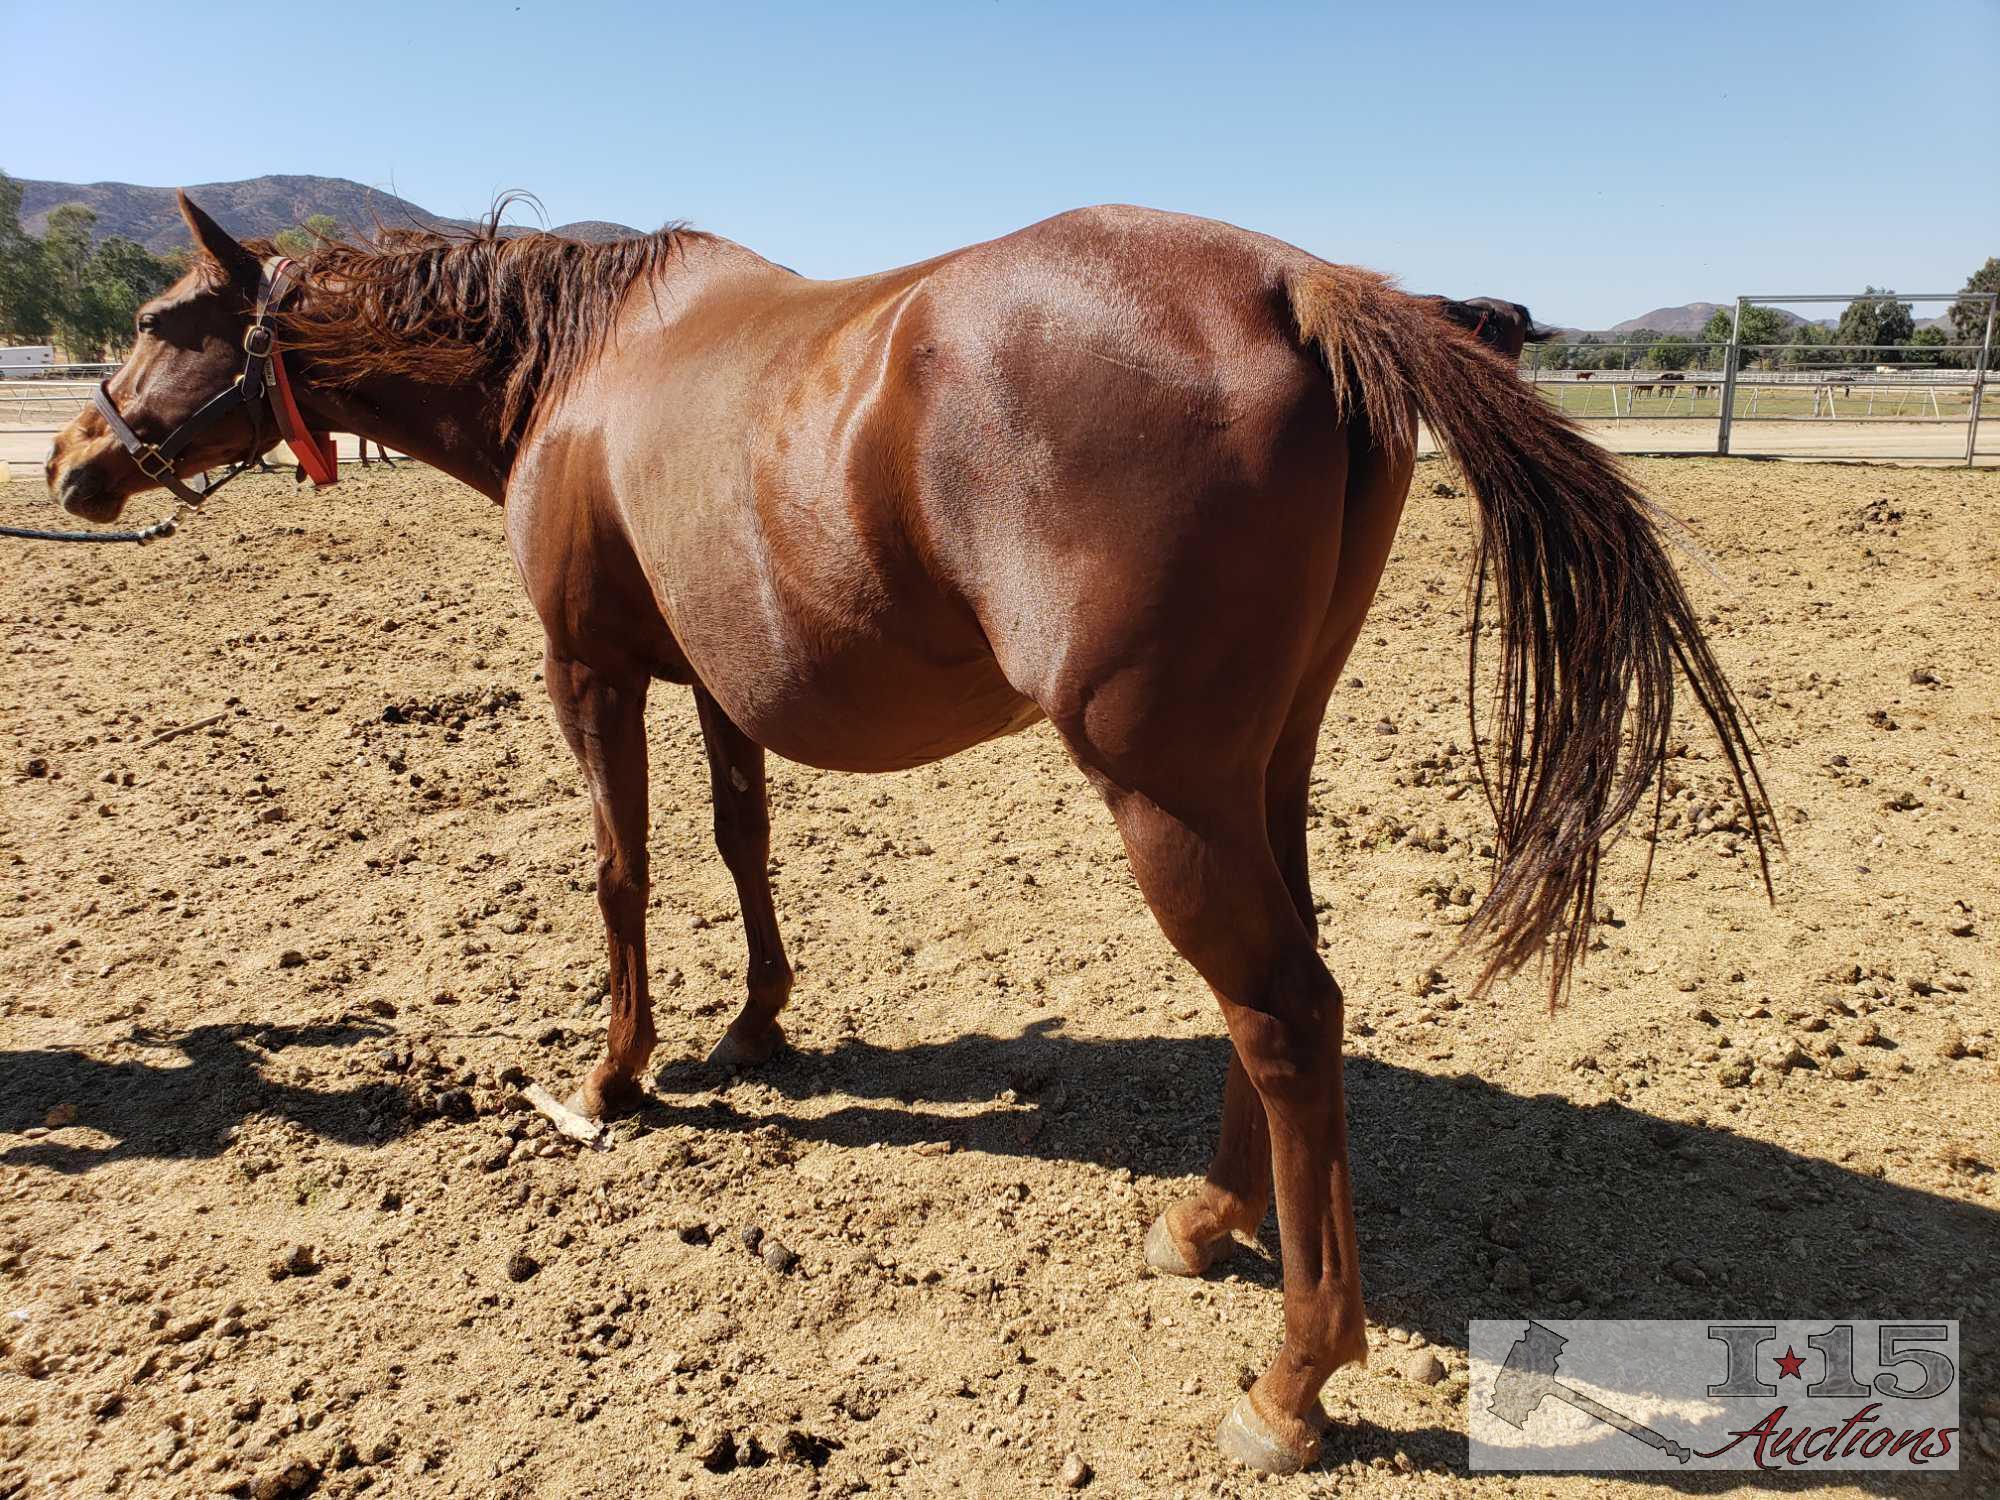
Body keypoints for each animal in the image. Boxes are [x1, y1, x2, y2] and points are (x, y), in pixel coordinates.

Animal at [43, 194, 1768, 1472]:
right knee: (1279, 1006)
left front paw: (613, 1080)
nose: (71, 462)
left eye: (159, 322)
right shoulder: (717, 680)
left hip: (1161, 791)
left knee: (1285, 1013)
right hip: (1259, 772)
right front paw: (755, 1029)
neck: (576, 374)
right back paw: (1208, 1222)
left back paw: (1292, 1381)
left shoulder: (588, 670)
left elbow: (622, 874)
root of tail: (1300, 284)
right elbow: (742, 846)